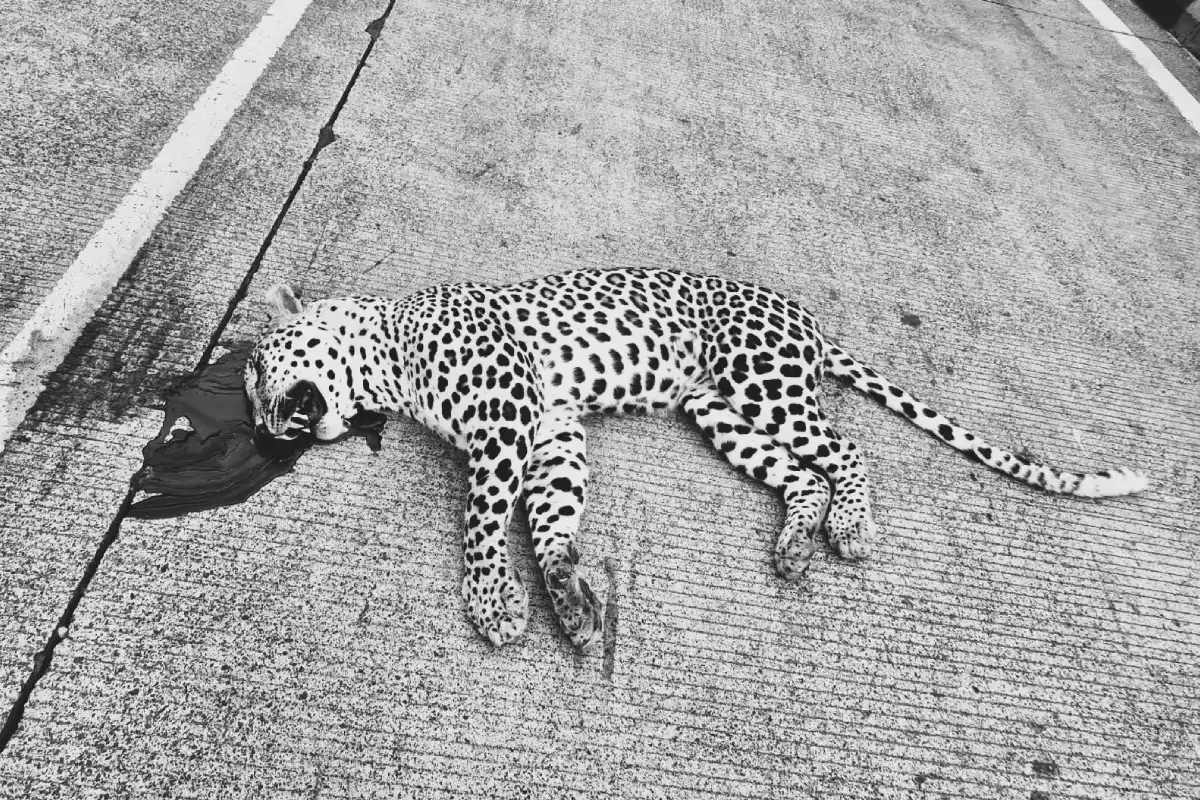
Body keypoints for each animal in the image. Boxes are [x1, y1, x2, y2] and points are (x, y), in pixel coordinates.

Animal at [245, 267, 1148, 654]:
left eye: (253, 372)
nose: (260, 430)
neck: (388, 354)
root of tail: (804, 316)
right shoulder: (555, 431)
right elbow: (549, 522)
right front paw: (572, 602)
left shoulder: (511, 421)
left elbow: (482, 519)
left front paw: (494, 604)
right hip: (717, 411)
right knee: (805, 476)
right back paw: (794, 547)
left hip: (761, 380)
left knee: (846, 449)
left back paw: (850, 530)